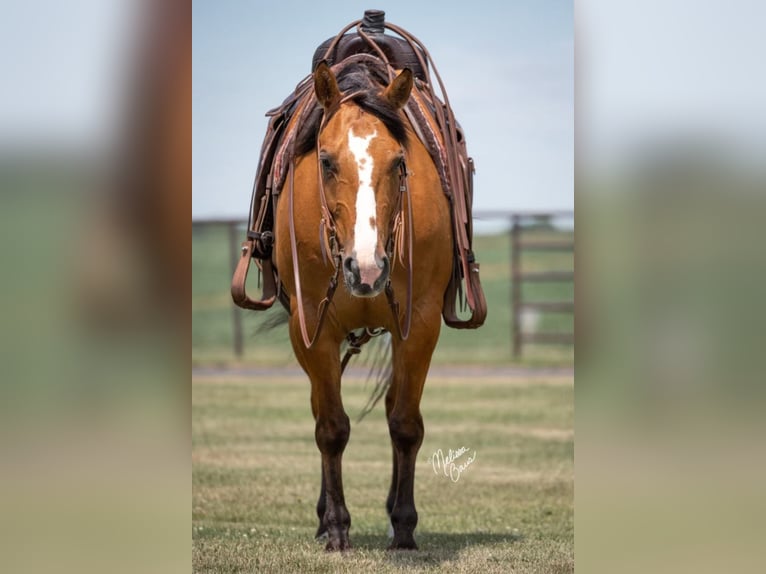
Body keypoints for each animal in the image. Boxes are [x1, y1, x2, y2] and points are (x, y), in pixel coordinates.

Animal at [272, 59, 456, 552]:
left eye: (398, 162)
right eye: (326, 161)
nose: (367, 269)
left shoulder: (420, 325)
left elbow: (405, 424)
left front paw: (405, 528)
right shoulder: (311, 328)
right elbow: (331, 429)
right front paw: (336, 527)